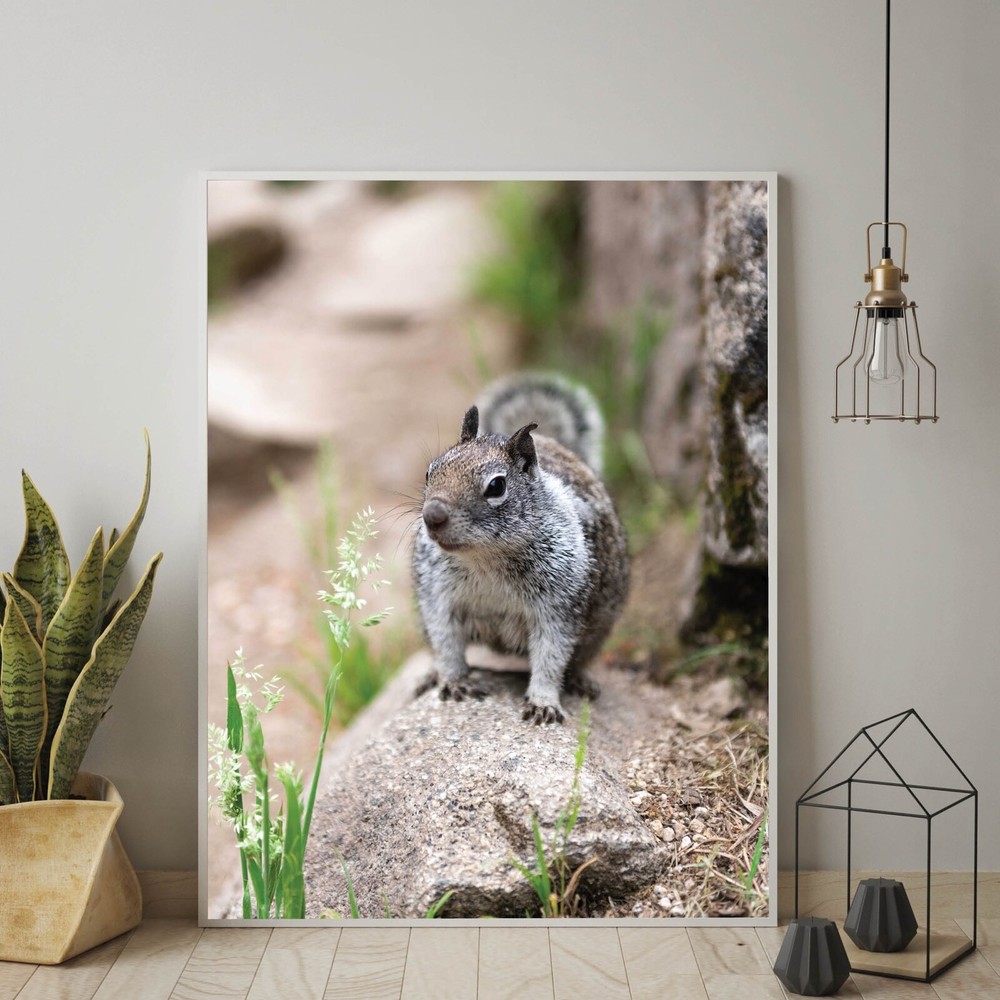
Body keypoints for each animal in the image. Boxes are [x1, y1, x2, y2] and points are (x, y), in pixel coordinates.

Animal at [412, 372, 630, 724]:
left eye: (496, 486)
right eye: (430, 470)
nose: (432, 516)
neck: (486, 557)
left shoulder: (558, 608)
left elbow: (550, 658)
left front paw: (543, 703)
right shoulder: (438, 597)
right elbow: (446, 643)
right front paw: (453, 680)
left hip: (598, 629)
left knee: (578, 659)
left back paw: (580, 681)